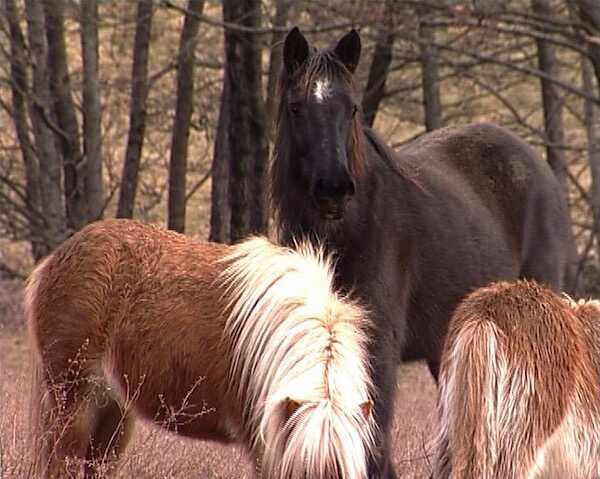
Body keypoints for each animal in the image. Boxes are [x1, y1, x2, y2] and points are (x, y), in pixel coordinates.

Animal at [270, 27, 572, 479]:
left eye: (352, 107)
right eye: (296, 107)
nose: (334, 189)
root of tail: (539, 168)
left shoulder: (378, 344)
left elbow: (373, 445)